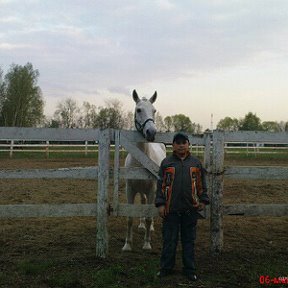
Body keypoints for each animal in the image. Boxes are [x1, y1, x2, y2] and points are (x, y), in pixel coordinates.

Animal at [122, 89, 166, 251]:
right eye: (138, 110)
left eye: (154, 110)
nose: (151, 132)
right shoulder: (129, 189)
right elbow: (129, 217)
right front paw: (127, 245)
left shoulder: (152, 190)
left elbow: (148, 216)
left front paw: (147, 244)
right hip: (140, 190)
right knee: (142, 202)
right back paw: (141, 225)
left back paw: (150, 227)